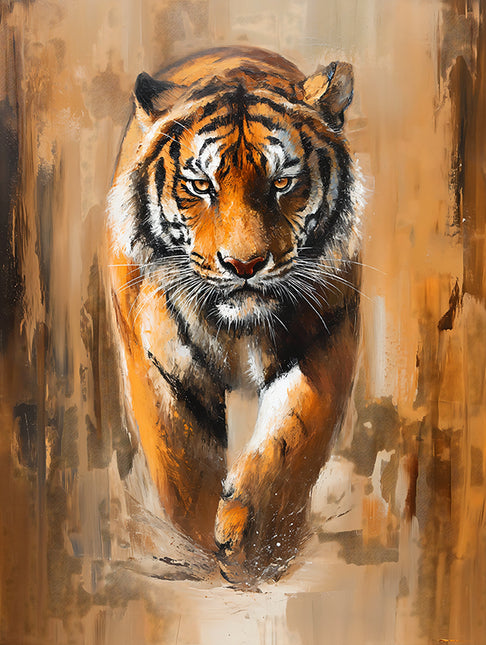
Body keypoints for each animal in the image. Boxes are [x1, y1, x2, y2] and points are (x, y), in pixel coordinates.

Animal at [107, 46, 361, 584]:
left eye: (283, 182)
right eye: (200, 185)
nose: (244, 265)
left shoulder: (324, 341)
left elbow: (289, 444)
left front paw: (254, 544)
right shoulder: (161, 365)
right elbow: (183, 467)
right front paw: (205, 548)